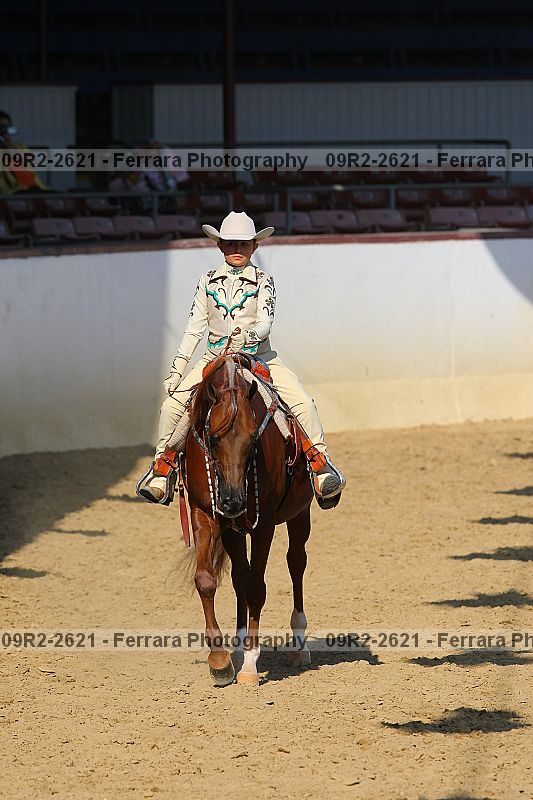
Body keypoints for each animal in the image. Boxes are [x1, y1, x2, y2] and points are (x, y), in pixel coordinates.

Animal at [184, 354, 314, 686]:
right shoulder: (204, 513)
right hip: (233, 530)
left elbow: (257, 587)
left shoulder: (263, 523)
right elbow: (206, 580)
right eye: (213, 438)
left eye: (253, 437)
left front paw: (250, 665)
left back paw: (299, 647)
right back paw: (238, 644)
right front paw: (220, 660)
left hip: (300, 514)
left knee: (296, 562)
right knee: (239, 574)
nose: (233, 500)